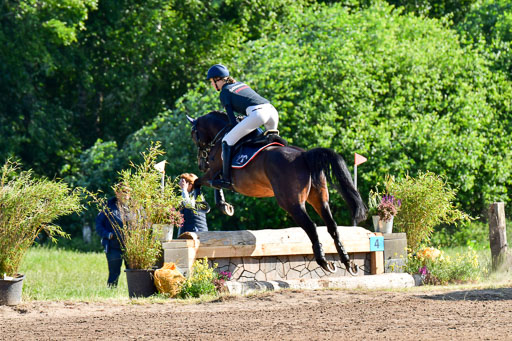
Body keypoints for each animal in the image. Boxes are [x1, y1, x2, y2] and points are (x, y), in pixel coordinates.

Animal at [188, 110, 368, 274]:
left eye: (194, 135)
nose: (201, 164)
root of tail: (304, 156)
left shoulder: (212, 172)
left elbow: (199, 182)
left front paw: (199, 203)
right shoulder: (214, 174)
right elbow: (212, 185)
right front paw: (224, 206)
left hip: (291, 203)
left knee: (311, 226)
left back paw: (323, 261)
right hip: (320, 198)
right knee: (332, 226)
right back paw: (347, 262)